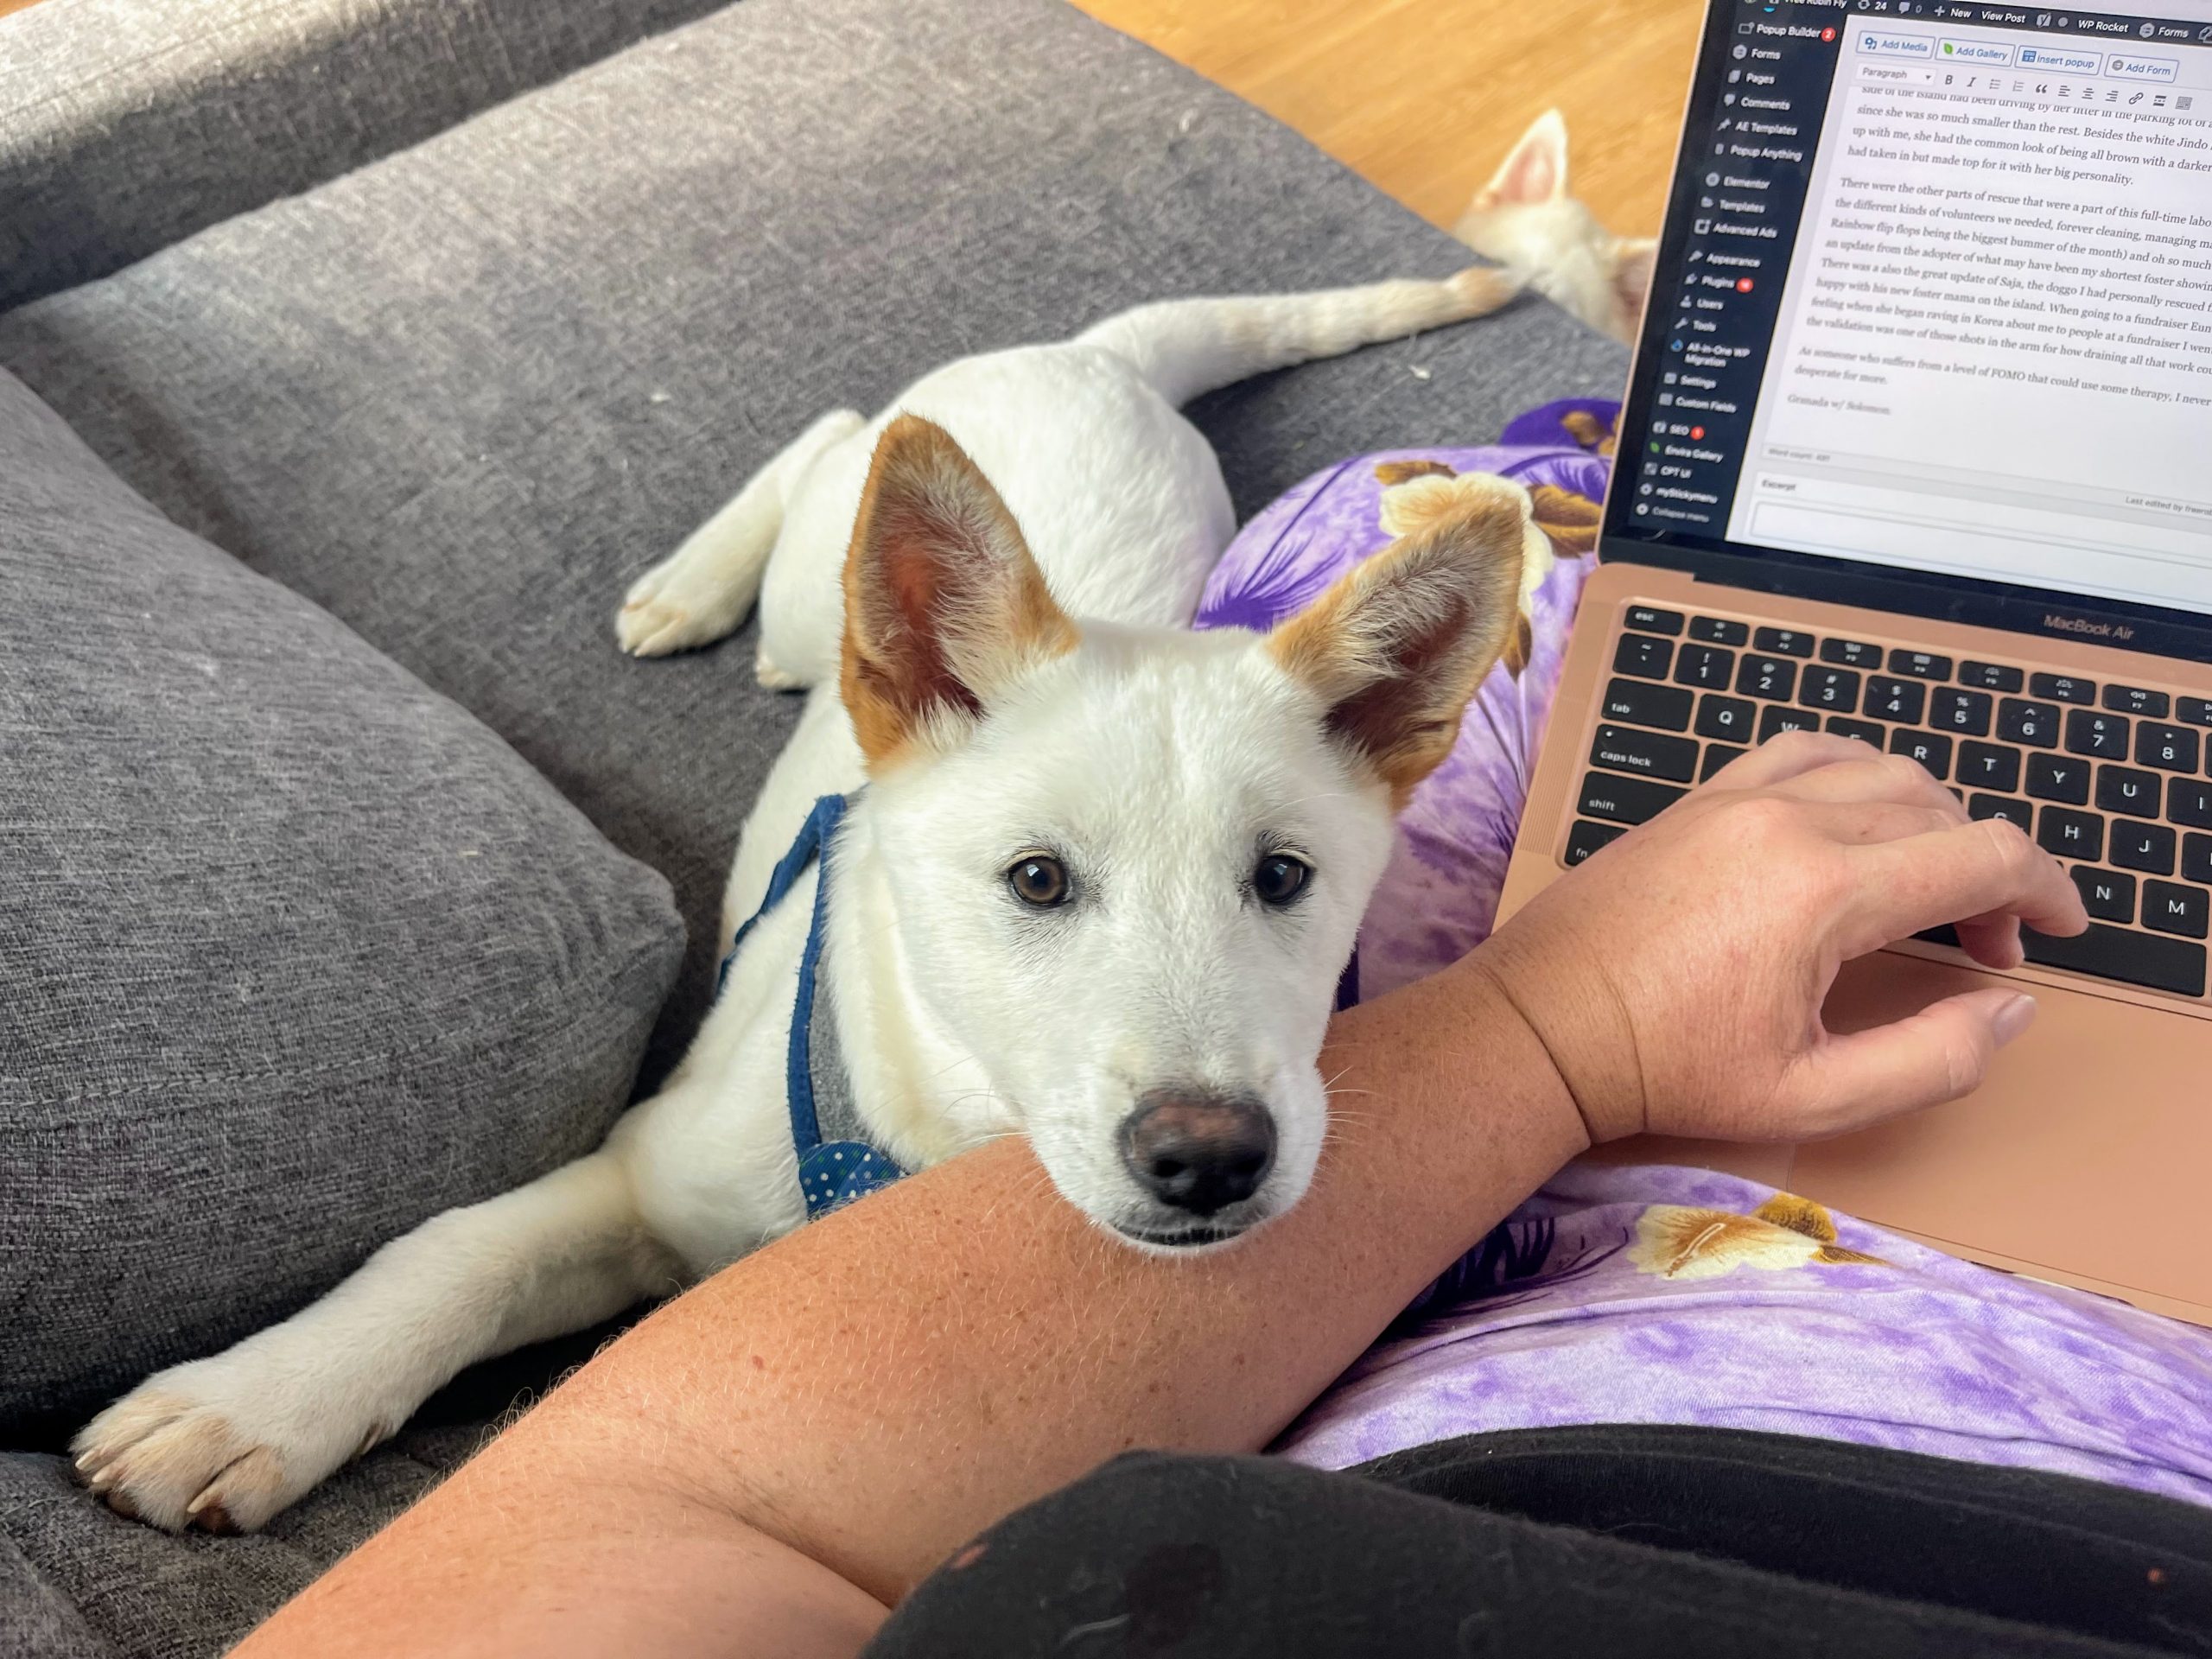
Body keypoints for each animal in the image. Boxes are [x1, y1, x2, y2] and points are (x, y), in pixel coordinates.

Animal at [74, 271, 1535, 1533]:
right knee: (835, 436)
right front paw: (257, 1400)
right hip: (820, 569)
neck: (928, 1138)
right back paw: (693, 581)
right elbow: (454, 1255)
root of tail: (1095, 357)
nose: (1213, 1157)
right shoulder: (644, 1170)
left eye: (1283, 878)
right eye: (1038, 880)